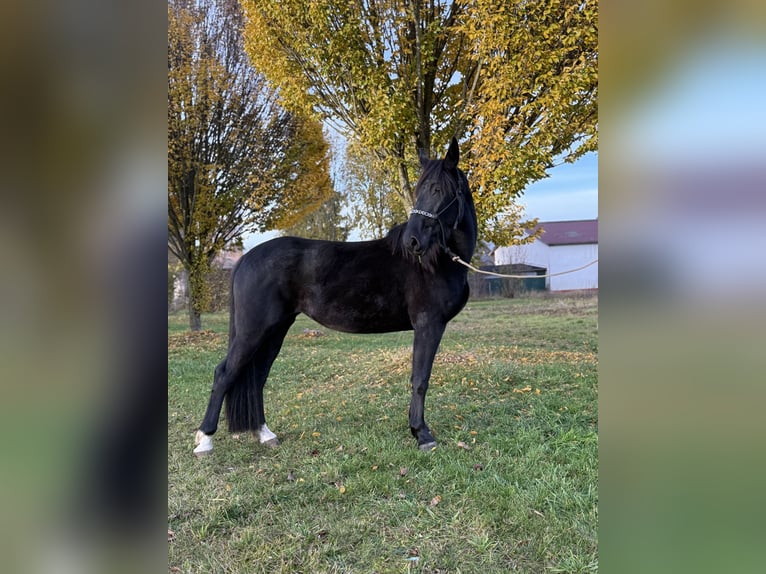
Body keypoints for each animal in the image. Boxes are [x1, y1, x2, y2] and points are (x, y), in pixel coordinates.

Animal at [193, 137, 477, 456]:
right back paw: (204, 440)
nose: (412, 241)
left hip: (275, 330)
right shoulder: (428, 324)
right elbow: (420, 379)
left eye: (438, 190)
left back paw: (265, 434)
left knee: (256, 378)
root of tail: (246, 259)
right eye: (419, 190)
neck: (436, 262)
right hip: (253, 331)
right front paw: (422, 434)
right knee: (224, 374)